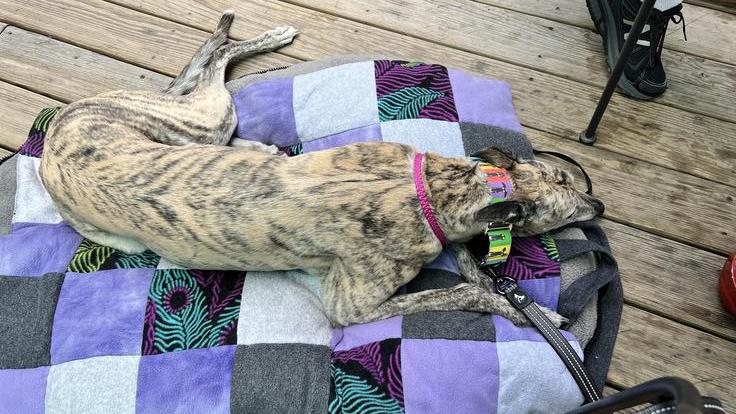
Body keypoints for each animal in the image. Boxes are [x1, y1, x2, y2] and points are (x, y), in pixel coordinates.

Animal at [38, 11, 604, 326]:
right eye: (563, 204)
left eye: (561, 176)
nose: (598, 204)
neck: (432, 189)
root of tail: (53, 137)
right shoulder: (350, 306)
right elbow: (460, 291)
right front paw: (524, 309)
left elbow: (466, 267)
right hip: (199, 131)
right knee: (216, 59)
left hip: (198, 130)